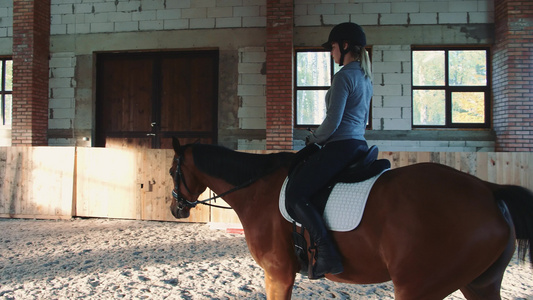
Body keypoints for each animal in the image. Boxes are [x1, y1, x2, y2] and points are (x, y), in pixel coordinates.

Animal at [168, 139, 532, 300]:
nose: (176, 209)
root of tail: (489, 190)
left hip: (419, 288)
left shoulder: (277, 273)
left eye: (172, 171)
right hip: (479, 284)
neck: (258, 187)